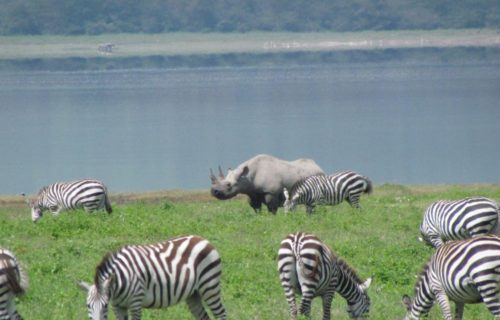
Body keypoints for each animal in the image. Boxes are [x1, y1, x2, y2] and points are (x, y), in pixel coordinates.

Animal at [78, 235, 227, 320]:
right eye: (88, 306)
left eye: (104, 306)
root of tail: (203, 239)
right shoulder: (117, 306)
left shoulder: (136, 302)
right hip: (193, 294)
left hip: (209, 286)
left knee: (221, 314)